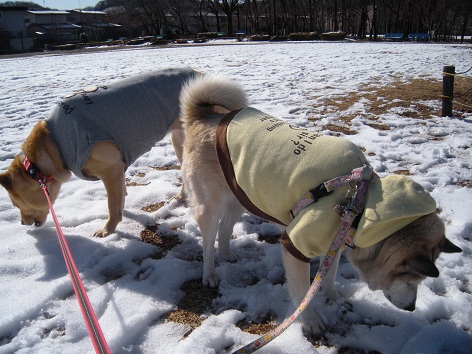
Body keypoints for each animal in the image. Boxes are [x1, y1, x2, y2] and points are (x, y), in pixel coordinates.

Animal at [0, 68, 199, 236]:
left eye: (16, 203)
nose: (22, 223)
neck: (55, 143)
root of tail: (199, 74)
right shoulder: (118, 169)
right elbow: (120, 198)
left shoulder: (111, 169)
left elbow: (112, 205)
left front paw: (107, 230)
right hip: (178, 141)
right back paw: (182, 196)